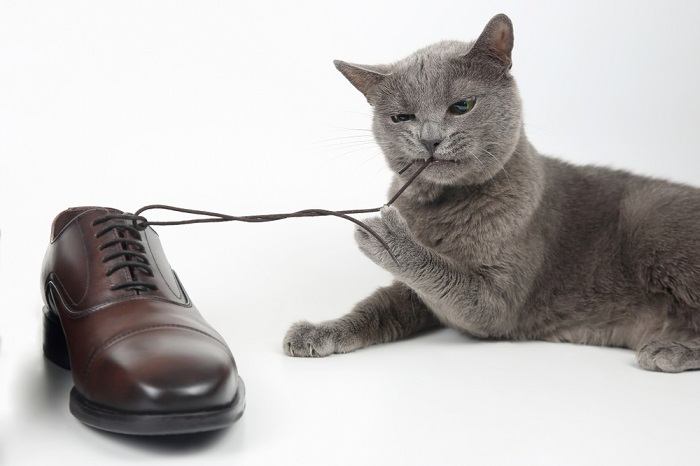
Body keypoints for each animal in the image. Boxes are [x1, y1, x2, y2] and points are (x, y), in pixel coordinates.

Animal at [282, 12, 700, 374]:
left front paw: (389, 237)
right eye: (402, 118)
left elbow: (448, 277)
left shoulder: (498, 304)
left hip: (653, 219)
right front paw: (319, 331)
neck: (442, 208)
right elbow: (377, 306)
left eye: (462, 105)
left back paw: (669, 350)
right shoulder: (417, 297)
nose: (430, 139)